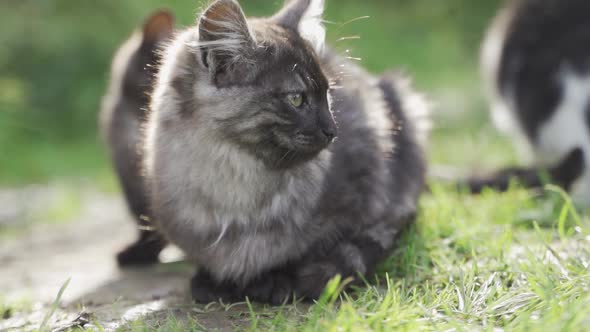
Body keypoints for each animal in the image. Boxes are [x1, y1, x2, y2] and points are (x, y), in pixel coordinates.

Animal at [144, 0, 430, 304]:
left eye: (328, 94)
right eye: (296, 99)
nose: (333, 130)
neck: (238, 180)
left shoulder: (370, 188)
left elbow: (317, 250)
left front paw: (276, 281)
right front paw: (213, 282)